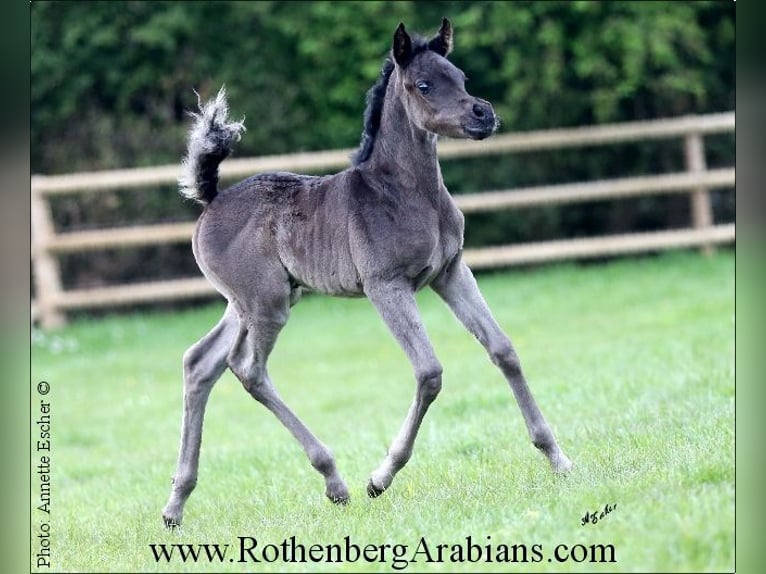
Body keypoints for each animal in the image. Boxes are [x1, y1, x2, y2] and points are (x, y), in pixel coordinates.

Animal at [162, 16, 568, 532]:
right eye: (423, 84)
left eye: (461, 77)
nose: (483, 114)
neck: (405, 193)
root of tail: (210, 199)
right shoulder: (386, 286)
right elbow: (430, 372)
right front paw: (381, 477)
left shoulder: (451, 272)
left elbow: (503, 349)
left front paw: (557, 458)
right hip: (266, 304)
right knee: (247, 368)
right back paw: (335, 481)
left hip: (252, 302)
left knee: (200, 363)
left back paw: (175, 505)